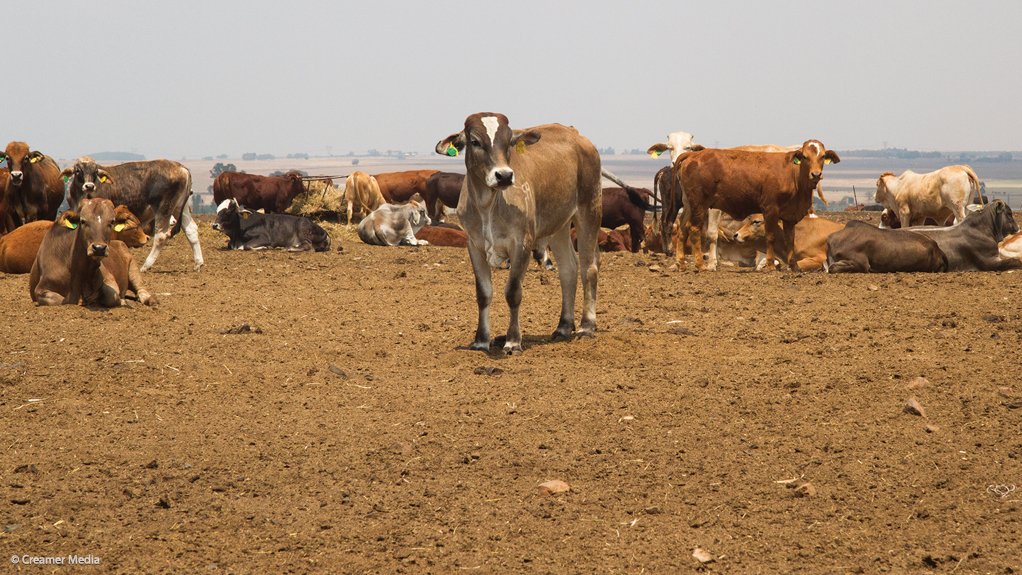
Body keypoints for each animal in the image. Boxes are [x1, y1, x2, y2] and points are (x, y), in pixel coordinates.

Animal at [61, 157, 204, 272]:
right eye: (78, 171)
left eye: (95, 171)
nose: (89, 186)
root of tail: (181, 168)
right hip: (180, 207)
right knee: (191, 230)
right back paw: (198, 263)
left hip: (164, 208)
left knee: (161, 236)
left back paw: (145, 266)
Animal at [436, 112, 601, 354]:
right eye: (475, 141)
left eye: (509, 142)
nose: (504, 176)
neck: (488, 205)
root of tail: (577, 135)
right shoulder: (474, 245)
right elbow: (483, 293)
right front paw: (481, 340)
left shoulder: (522, 243)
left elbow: (513, 292)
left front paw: (513, 341)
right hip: (559, 225)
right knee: (568, 270)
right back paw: (563, 326)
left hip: (589, 210)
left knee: (589, 268)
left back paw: (586, 325)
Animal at [674, 140, 840, 271]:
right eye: (805, 156)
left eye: (822, 156)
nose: (816, 174)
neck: (792, 175)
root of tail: (693, 155)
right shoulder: (771, 209)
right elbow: (770, 236)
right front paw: (770, 265)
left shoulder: (790, 216)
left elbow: (790, 239)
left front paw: (794, 266)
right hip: (699, 205)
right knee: (694, 229)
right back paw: (700, 264)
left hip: (688, 205)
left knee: (682, 229)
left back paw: (680, 263)